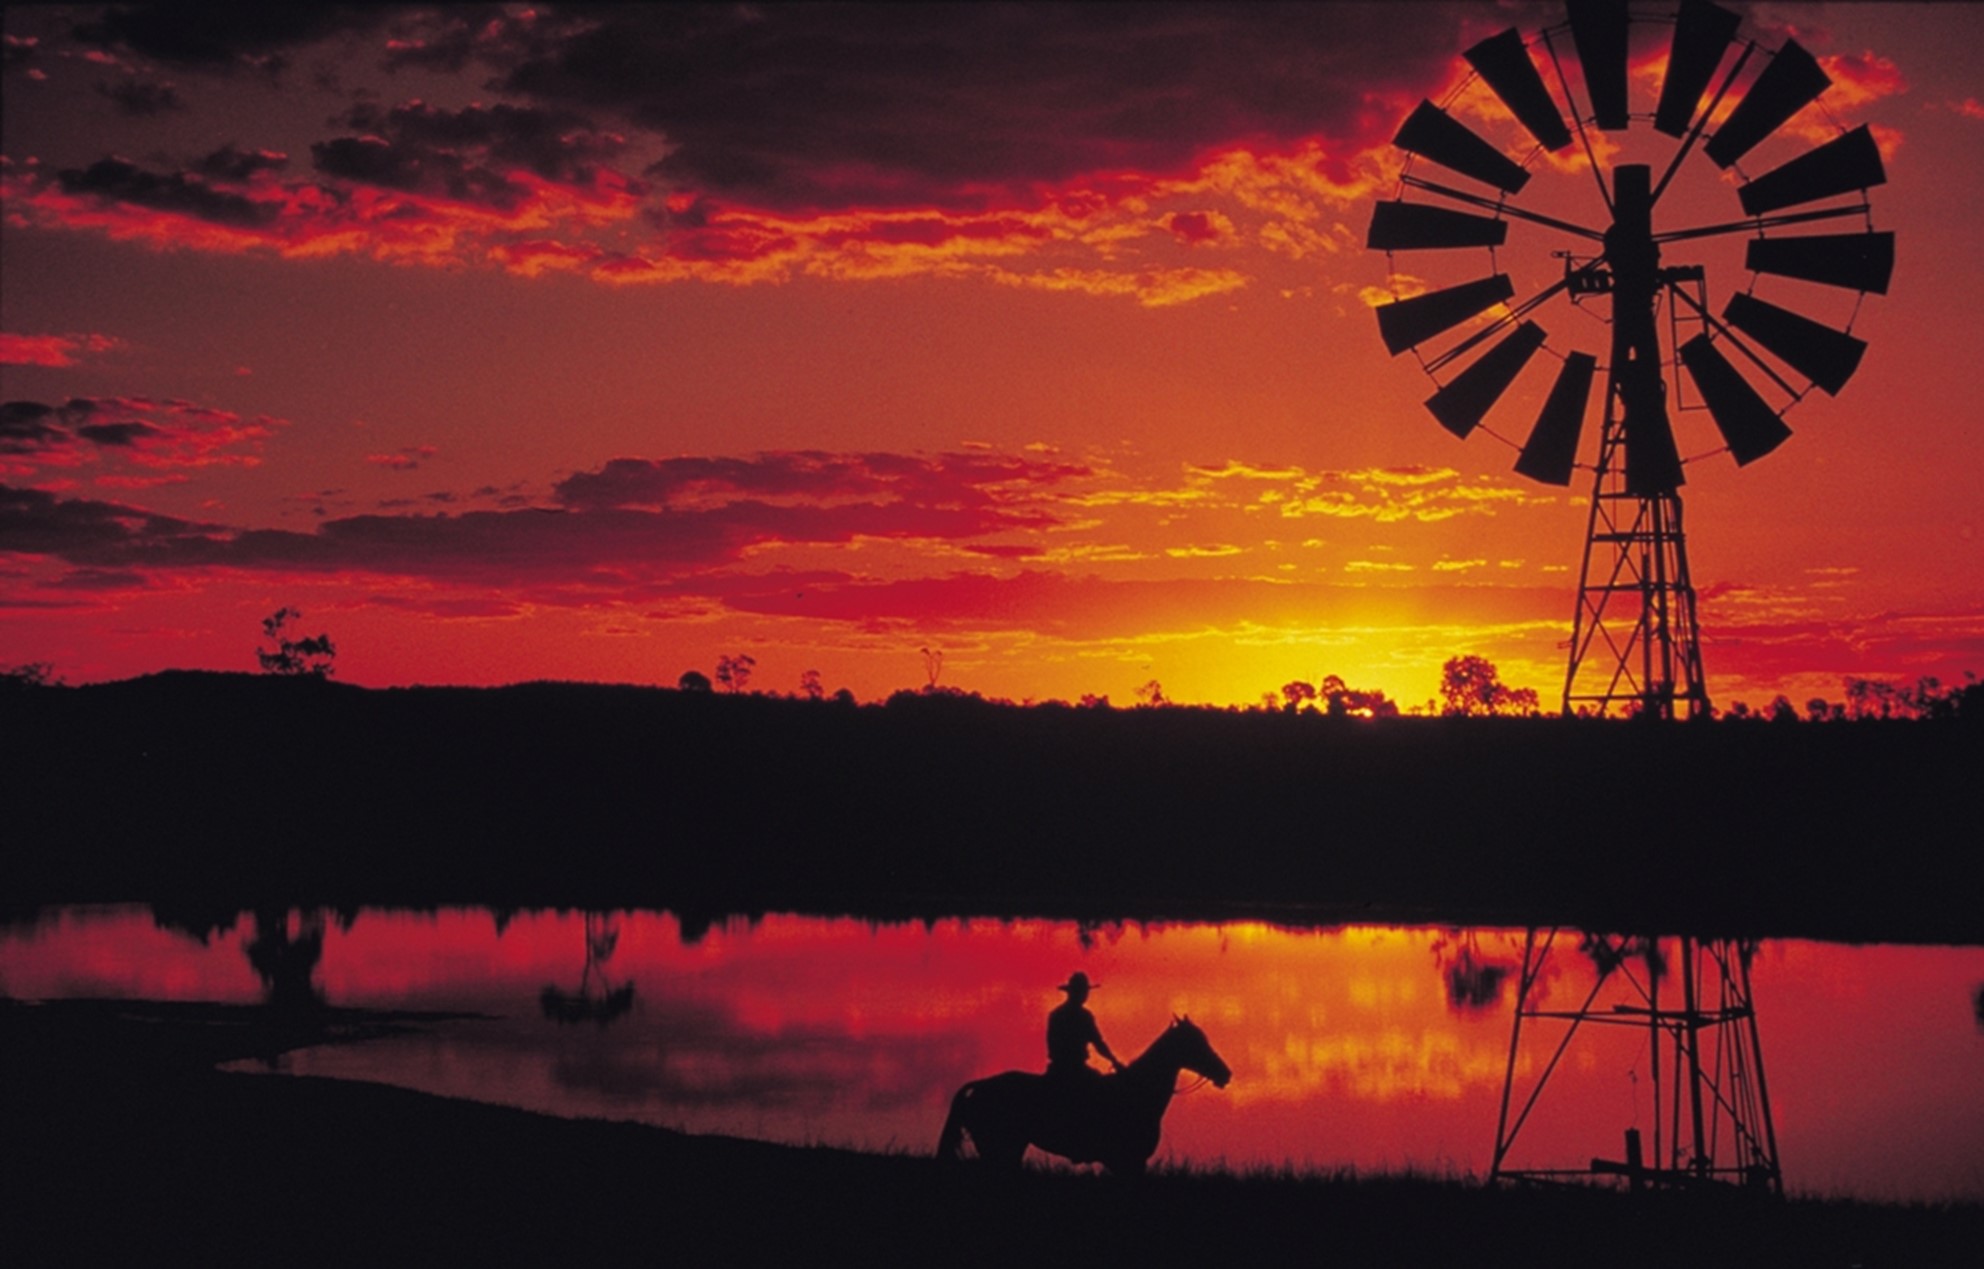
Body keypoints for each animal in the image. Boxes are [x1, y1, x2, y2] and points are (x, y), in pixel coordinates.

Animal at [936, 1015, 1230, 1173]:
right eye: (1196, 1042)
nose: (1225, 1073)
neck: (1136, 1092)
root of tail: (979, 1086)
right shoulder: (1126, 1161)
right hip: (998, 1145)